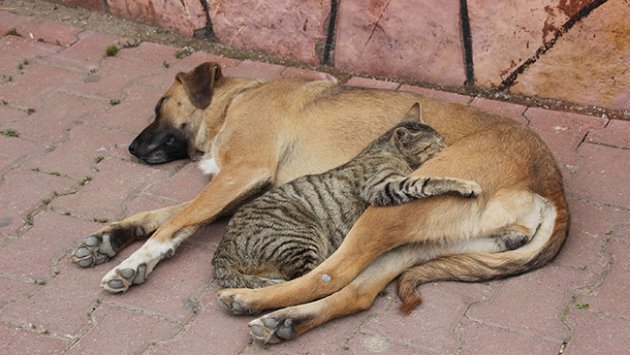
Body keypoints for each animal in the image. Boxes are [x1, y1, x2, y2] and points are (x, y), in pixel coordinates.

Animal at [211, 105, 478, 290]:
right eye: (434, 145)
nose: (447, 146)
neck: (384, 150)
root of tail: (221, 252)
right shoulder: (381, 186)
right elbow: (428, 180)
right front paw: (465, 184)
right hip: (301, 236)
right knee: (306, 278)